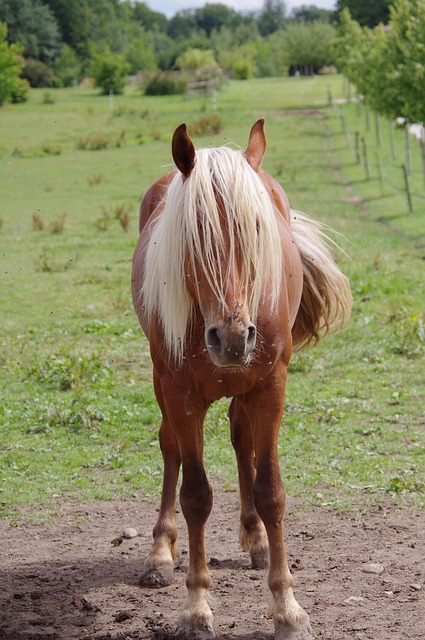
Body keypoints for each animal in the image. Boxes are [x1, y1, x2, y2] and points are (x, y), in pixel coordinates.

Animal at [131, 119, 352, 640]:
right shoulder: (180, 394)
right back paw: (161, 552)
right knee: (170, 448)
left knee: (240, 438)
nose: (232, 337)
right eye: (194, 232)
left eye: (256, 226)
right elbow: (195, 496)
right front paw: (196, 608)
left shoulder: (271, 385)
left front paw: (287, 607)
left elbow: (271, 491)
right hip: (162, 384)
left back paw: (257, 541)